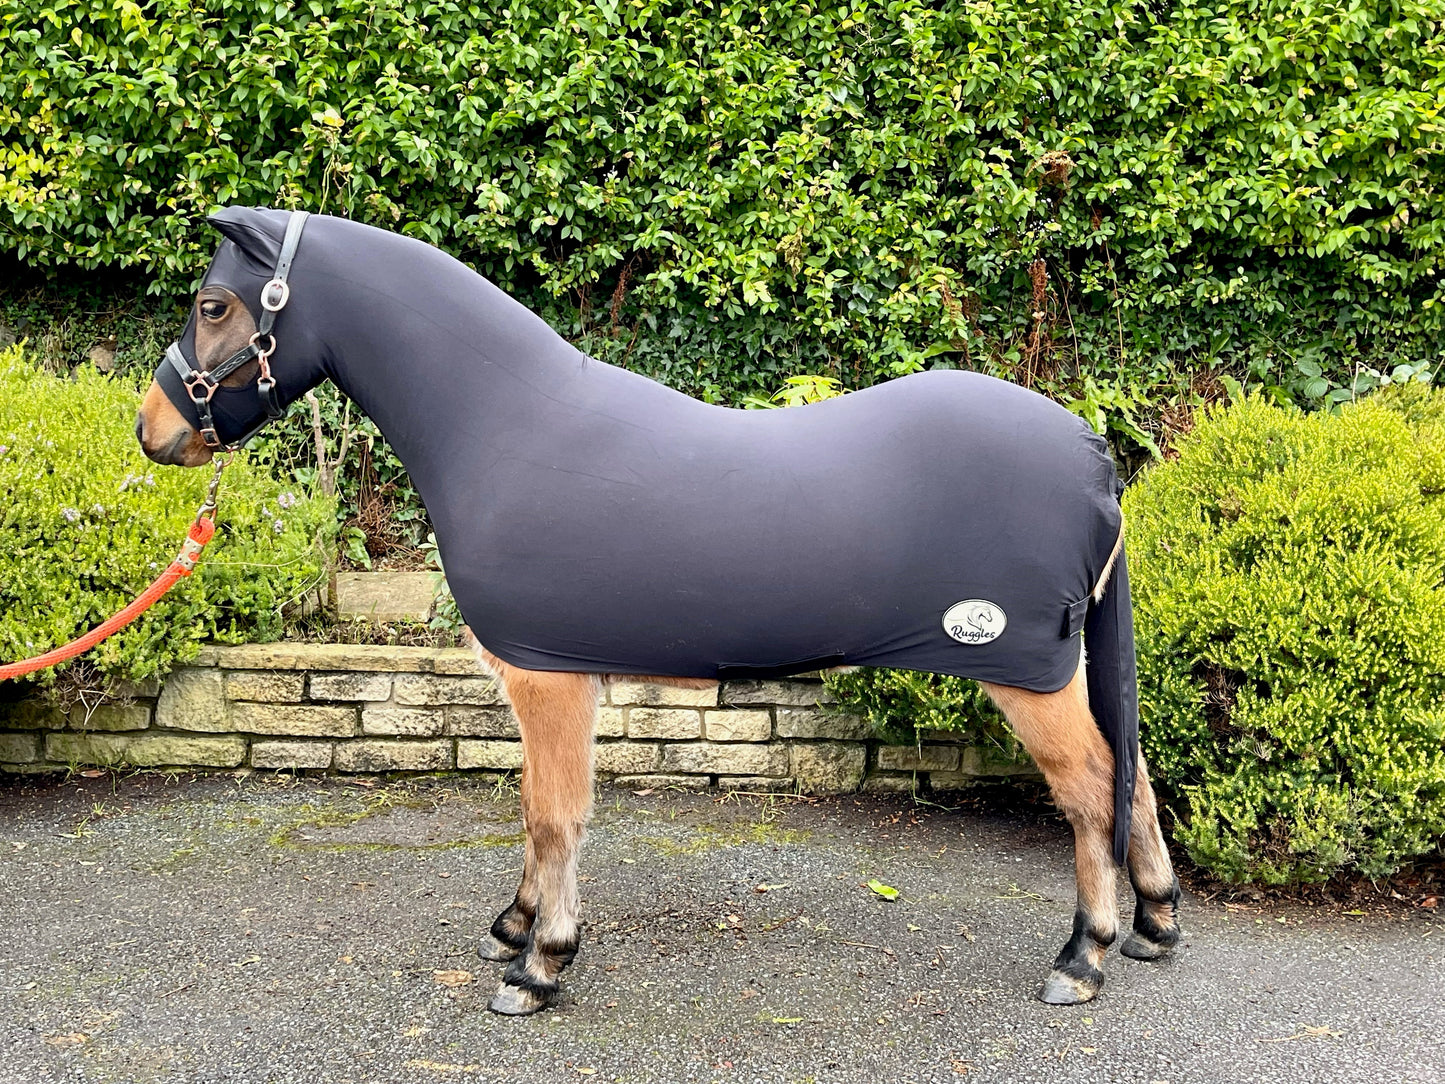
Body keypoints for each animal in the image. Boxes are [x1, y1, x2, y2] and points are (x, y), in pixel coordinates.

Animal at [136, 207, 1181, 1016]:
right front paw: (515, 926)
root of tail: (1092, 454)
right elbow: (536, 811)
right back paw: (1154, 924)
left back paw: (1083, 956)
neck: (506, 423)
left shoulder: (546, 677)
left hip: (1022, 672)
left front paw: (540, 964)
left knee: (1093, 785)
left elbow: (552, 815)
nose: (155, 432)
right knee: (1129, 775)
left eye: (215, 305)